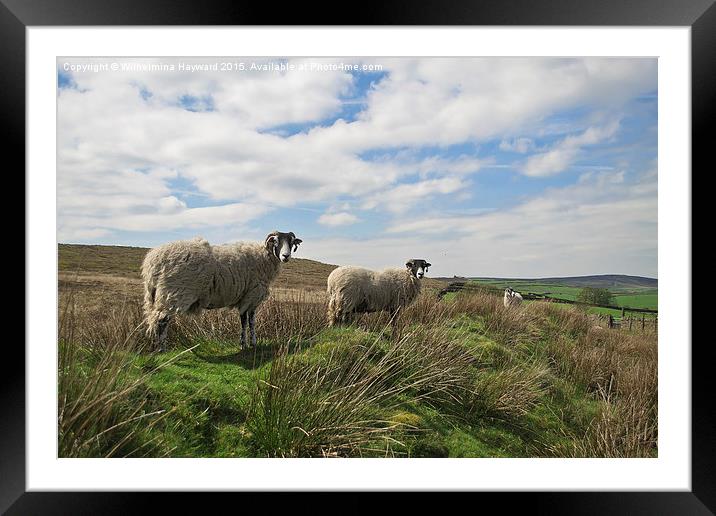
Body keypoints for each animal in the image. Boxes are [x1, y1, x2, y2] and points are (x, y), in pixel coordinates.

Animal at [143, 230, 302, 350]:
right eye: (276, 241)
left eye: (291, 242)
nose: (286, 256)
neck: (264, 258)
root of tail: (153, 262)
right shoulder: (251, 296)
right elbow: (249, 321)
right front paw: (250, 344)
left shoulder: (245, 299)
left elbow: (245, 321)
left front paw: (246, 343)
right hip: (175, 293)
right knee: (162, 320)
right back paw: (162, 349)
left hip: (157, 295)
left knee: (156, 319)